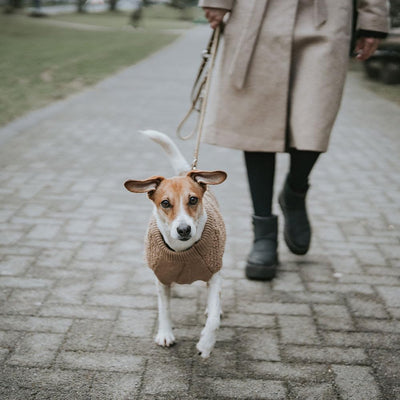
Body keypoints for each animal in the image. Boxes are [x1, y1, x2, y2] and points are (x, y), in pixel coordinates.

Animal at [123, 131, 227, 360]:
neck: (182, 252)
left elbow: (214, 317)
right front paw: (165, 334)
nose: (184, 230)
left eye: (193, 200)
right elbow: (164, 309)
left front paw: (206, 344)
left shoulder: (214, 274)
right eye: (165, 203)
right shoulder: (161, 278)